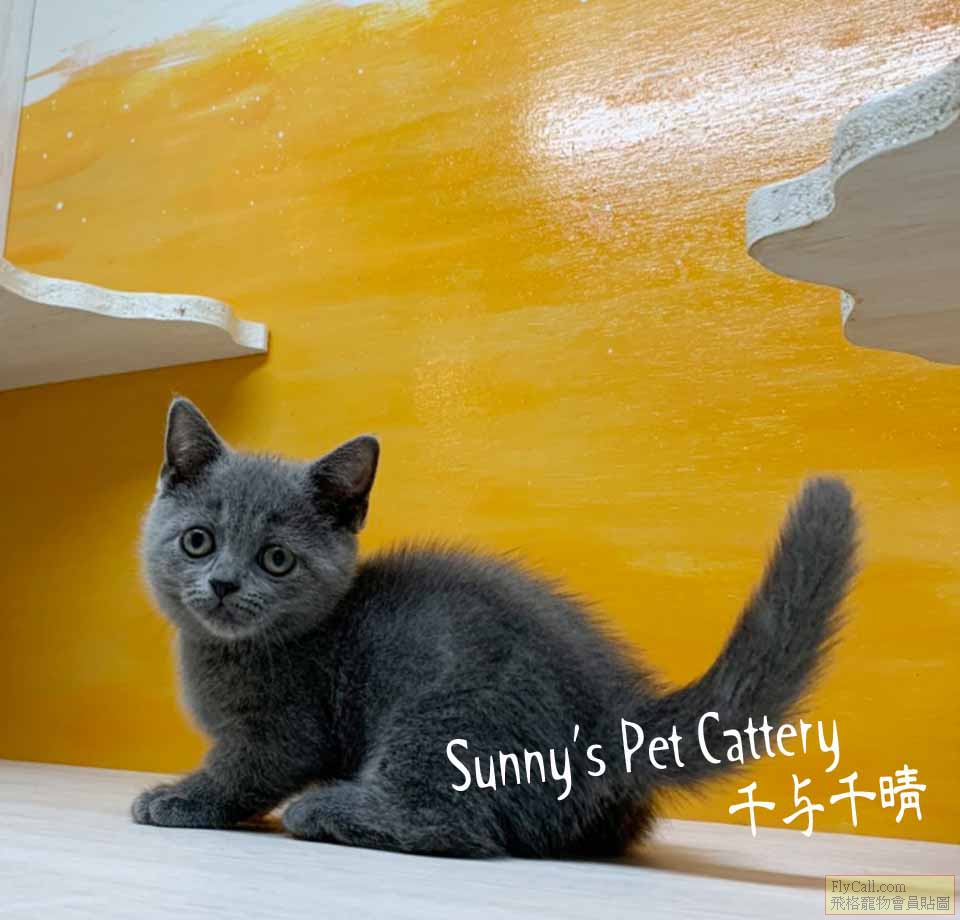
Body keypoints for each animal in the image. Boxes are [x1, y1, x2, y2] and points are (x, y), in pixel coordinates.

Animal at [133, 397, 858, 857]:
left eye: (277, 559)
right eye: (198, 541)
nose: (224, 584)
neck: (225, 652)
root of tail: (615, 713)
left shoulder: (286, 727)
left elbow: (243, 769)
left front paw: (178, 798)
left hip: (442, 710)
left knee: (452, 826)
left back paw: (325, 810)